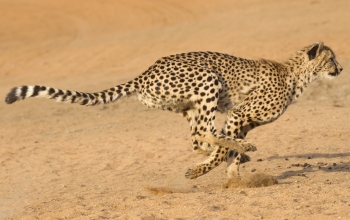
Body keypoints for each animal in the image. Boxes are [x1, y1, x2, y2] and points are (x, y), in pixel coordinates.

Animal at [4, 41, 342, 179]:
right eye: (331, 59)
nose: (340, 68)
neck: (296, 76)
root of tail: (146, 71)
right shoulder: (237, 115)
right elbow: (225, 148)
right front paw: (210, 170)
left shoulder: (242, 121)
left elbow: (226, 149)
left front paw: (233, 171)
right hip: (208, 80)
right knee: (204, 132)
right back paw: (233, 152)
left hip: (189, 105)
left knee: (196, 138)